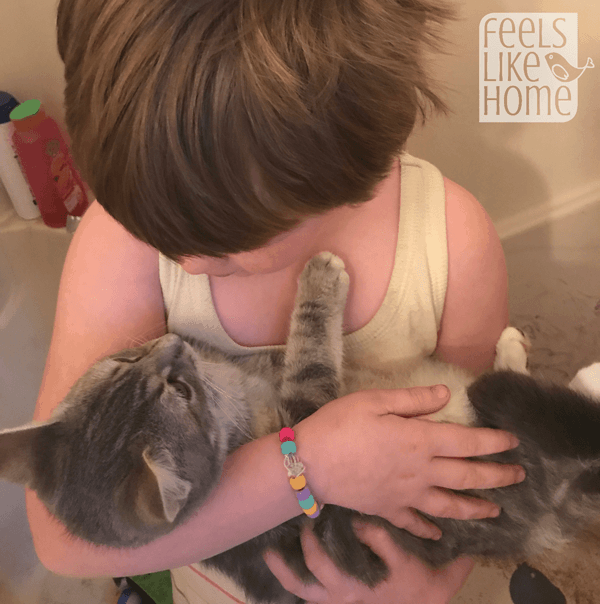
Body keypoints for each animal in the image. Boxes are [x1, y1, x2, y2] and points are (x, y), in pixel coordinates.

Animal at [1, 254, 600, 604]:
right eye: (179, 393)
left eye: (126, 359)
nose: (168, 345)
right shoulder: (311, 412)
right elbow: (310, 348)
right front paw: (320, 280)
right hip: (497, 414)